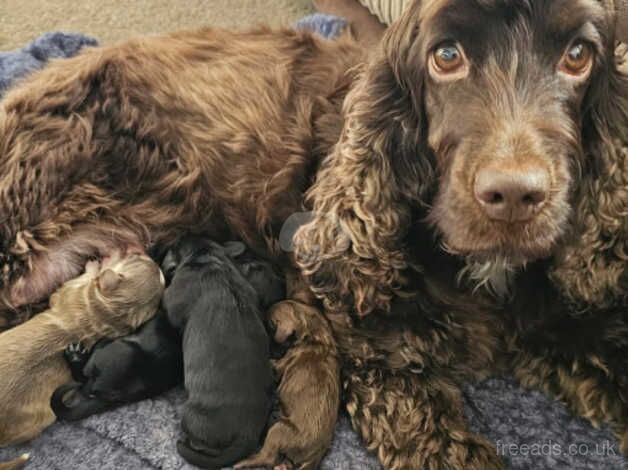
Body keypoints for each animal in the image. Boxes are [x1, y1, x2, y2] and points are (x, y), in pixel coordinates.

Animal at [0, 252, 164, 446]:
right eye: (139, 258)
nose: (140, 252)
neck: (109, 313)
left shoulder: (66, 292)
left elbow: (79, 281)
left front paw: (94, 266)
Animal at [237, 302, 344, 470]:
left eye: (271, 325)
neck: (317, 336)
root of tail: (317, 454)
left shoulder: (281, 364)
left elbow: (273, 364)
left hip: (279, 430)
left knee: (268, 458)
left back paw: (244, 462)